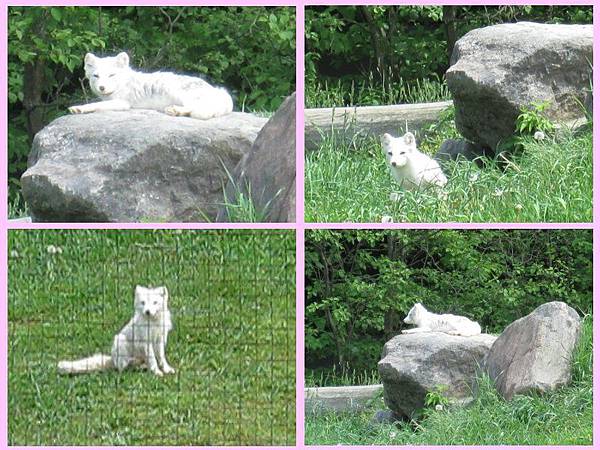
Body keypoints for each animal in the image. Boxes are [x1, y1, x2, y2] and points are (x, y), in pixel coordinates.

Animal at [68, 52, 232, 119]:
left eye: (111, 75)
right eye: (96, 76)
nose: (102, 87)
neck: (123, 83)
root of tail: (219, 91)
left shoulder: (123, 103)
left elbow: (95, 105)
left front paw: (80, 108)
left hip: (183, 95)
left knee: (194, 108)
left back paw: (175, 110)